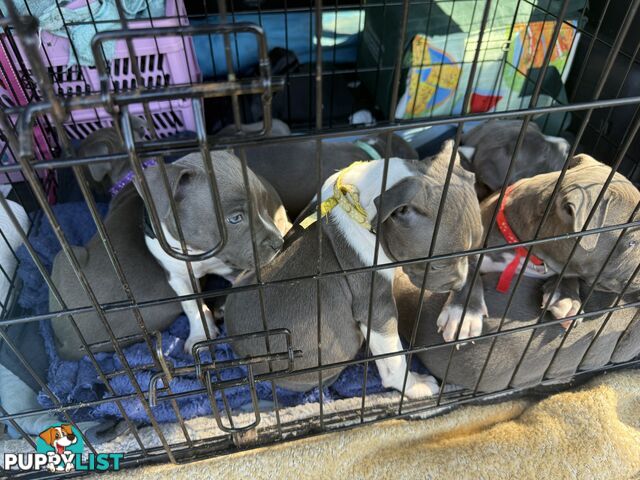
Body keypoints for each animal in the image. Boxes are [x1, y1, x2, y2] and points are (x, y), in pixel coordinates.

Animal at [225, 142, 480, 398]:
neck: (362, 201)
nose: (458, 283)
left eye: (475, 247)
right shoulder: (376, 307)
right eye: (437, 264)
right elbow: (394, 358)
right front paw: (414, 385)